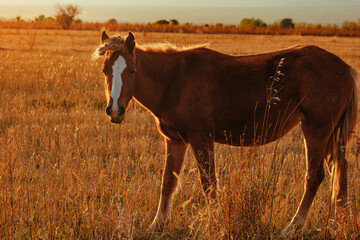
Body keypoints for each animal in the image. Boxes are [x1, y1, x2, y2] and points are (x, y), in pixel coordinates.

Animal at [94, 31, 358, 233]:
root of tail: (345, 68)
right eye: (105, 70)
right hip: (332, 135)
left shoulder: (201, 138)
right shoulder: (175, 140)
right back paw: (340, 223)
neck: (174, 80)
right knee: (340, 172)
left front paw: (216, 223)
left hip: (316, 131)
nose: (114, 110)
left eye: (132, 71)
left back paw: (294, 226)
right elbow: (168, 182)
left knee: (314, 177)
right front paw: (157, 224)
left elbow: (209, 183)